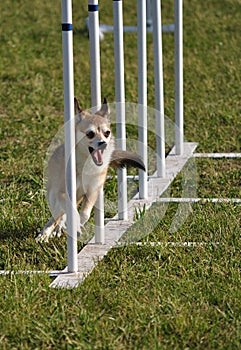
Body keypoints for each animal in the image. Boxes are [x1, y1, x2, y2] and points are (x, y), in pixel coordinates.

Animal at [35, 97, 145, 242]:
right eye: (90, 134)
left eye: (107, 133)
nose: (103, 143)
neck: (87, 165)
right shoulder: (63, 193)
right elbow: (71, 212)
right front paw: (73, 225)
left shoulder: (92, 191)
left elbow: (85, 214)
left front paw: (78, 224)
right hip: (54, 194)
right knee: (56, 214)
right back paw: (46, 233)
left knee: (61, 214)